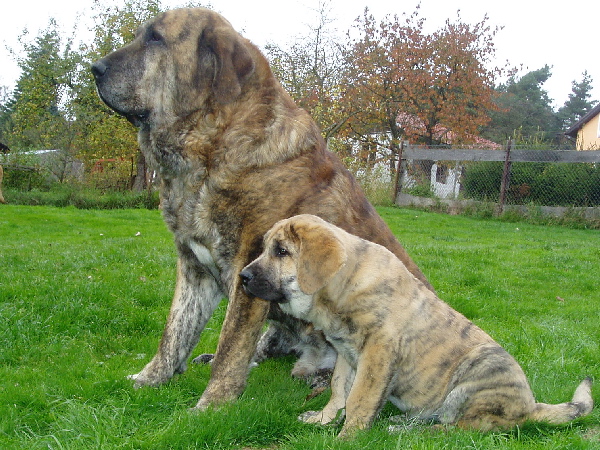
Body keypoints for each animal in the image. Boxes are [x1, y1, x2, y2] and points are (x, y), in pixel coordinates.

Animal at [91, 6, 432, 408]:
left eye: (156, 38)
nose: (94, 68)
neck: (214, 147)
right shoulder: (194, 267)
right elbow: (175, 332)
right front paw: (150, 379)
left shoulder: (250, 266)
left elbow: (231, 344)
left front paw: (211, 405)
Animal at [240, 216, 596, 438]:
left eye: (281, 251)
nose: (242, 277)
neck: (343, 289)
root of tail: (529, 407)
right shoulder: (345, 353)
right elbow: (339, 389)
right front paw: (323, 420)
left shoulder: (378, 354)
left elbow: (360, 399)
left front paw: (346, 436)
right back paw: (402, 421)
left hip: (474, 376)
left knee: (457, 430)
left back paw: (406, 429)